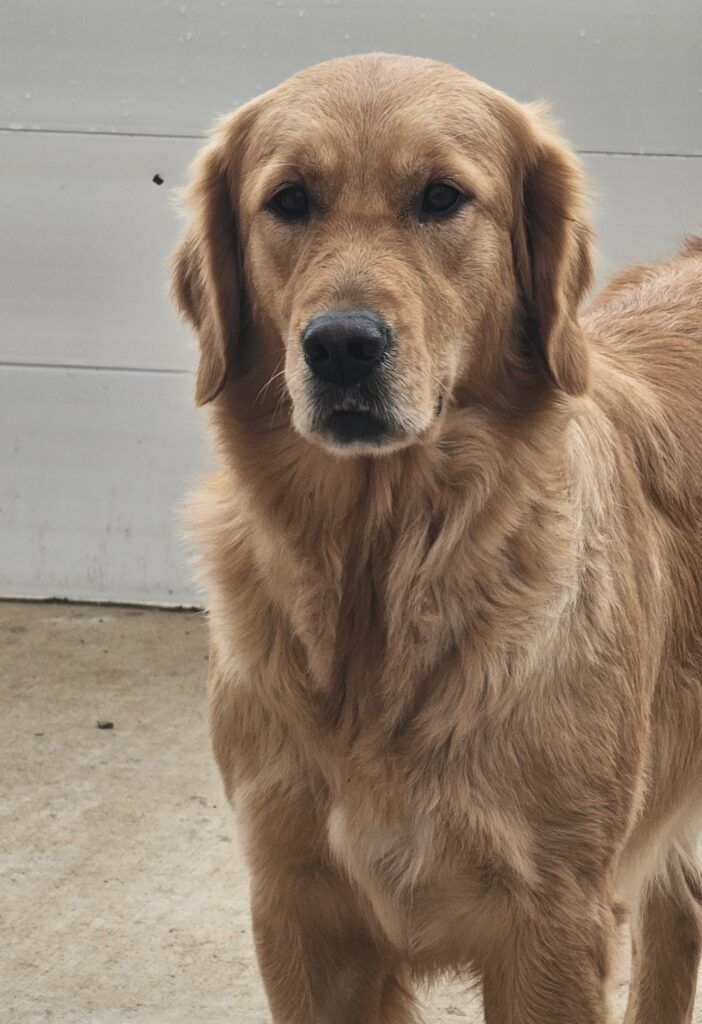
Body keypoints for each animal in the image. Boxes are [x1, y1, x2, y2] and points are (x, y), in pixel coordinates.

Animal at [171, 53, 702, 1023]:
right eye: (290, 200)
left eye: (442, 197)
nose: (342, 345)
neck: (385, 568)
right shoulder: (298, 911)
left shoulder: (553, 921)